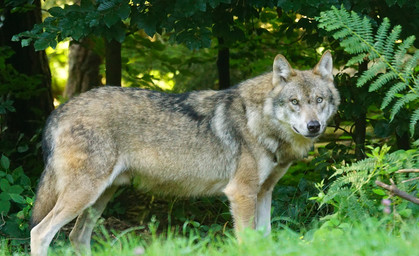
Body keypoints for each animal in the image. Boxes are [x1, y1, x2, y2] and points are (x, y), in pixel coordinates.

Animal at [29, 51, 340, 255]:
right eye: (294, 102)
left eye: (319, 100)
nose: (314, 126)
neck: (258, 120)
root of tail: (58, 111)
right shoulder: (241, 193)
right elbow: (247, 242)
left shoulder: (264, 193)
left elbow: (265, 240)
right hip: (84, 195)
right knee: (39, 233)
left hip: (99, 197)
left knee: (77, 237)